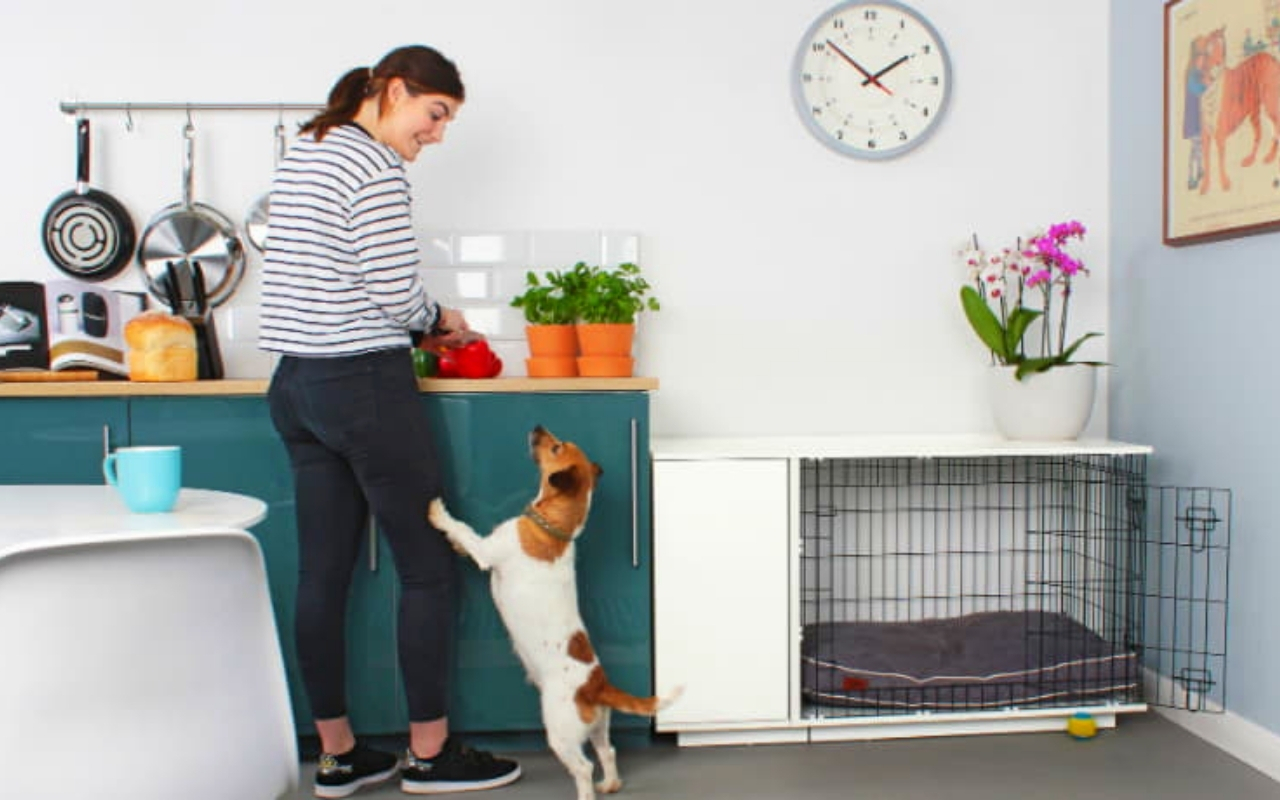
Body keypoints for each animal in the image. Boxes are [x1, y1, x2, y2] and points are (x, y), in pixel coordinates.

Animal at [428, 425, 680, 800]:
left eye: (556, 446)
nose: (537, 427)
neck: (553, 527)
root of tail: (596, 684)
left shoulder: (487, 551)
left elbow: (464, 530)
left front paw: (439, 514)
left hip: (560, 733)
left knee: (584, 767)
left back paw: (587, 791)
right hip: (598, 726)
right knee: (608, 751)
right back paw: (610, 783)